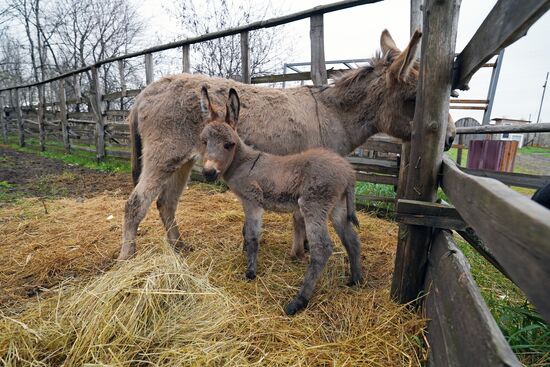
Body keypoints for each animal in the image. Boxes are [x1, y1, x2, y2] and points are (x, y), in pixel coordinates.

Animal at [201, 87, 364, 316]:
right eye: (204, 141)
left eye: (228, 144)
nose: (208, 173)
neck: (243, 162)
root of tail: (348, 171)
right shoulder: (248, 203)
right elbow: (247, 232)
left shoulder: (252, 201)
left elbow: (252, 236)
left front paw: (251, 272)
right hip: (338, 206)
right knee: (352, 239)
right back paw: (355, 279)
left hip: (314, 205)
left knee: (322, 248)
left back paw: (299, 301)